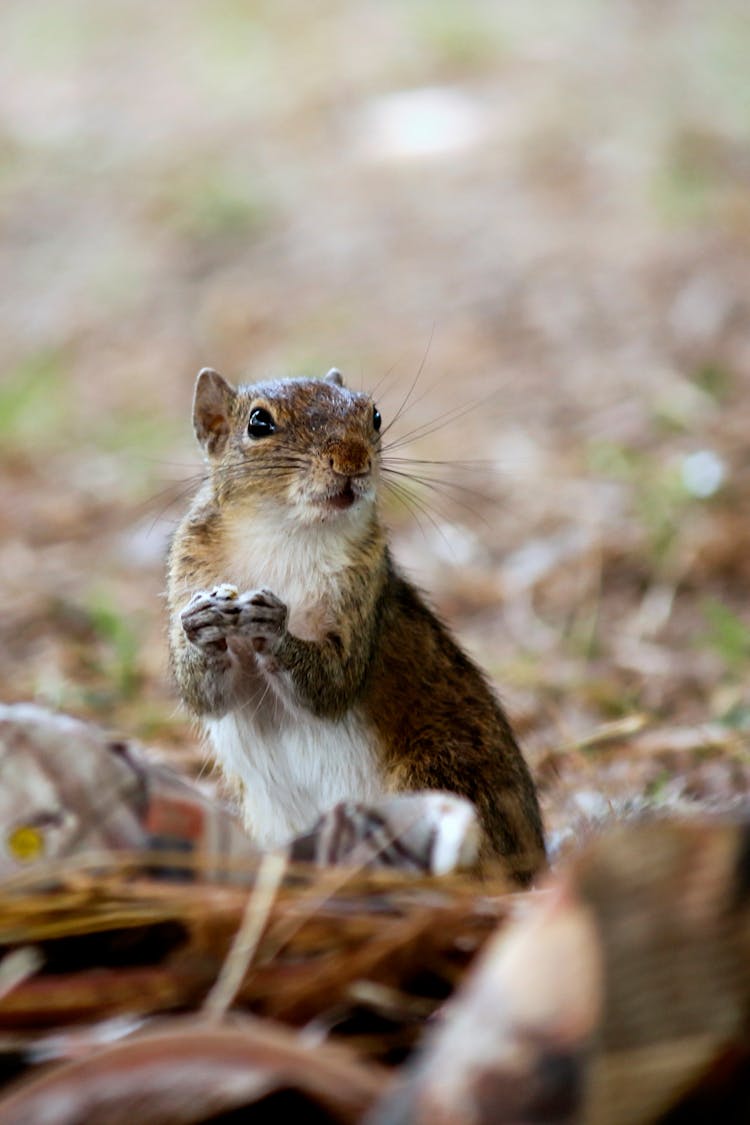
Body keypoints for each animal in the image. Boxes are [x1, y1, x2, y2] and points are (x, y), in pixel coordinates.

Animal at [168, 364, 546, 882]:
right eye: (259, 423)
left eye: (375, 415)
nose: (352, 461)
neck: (286, 533)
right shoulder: (189, 572)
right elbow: (203, 695)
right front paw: (202, 625)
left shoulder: (365, 592)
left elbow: (334, 683)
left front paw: (274, 627)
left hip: (440, 771)